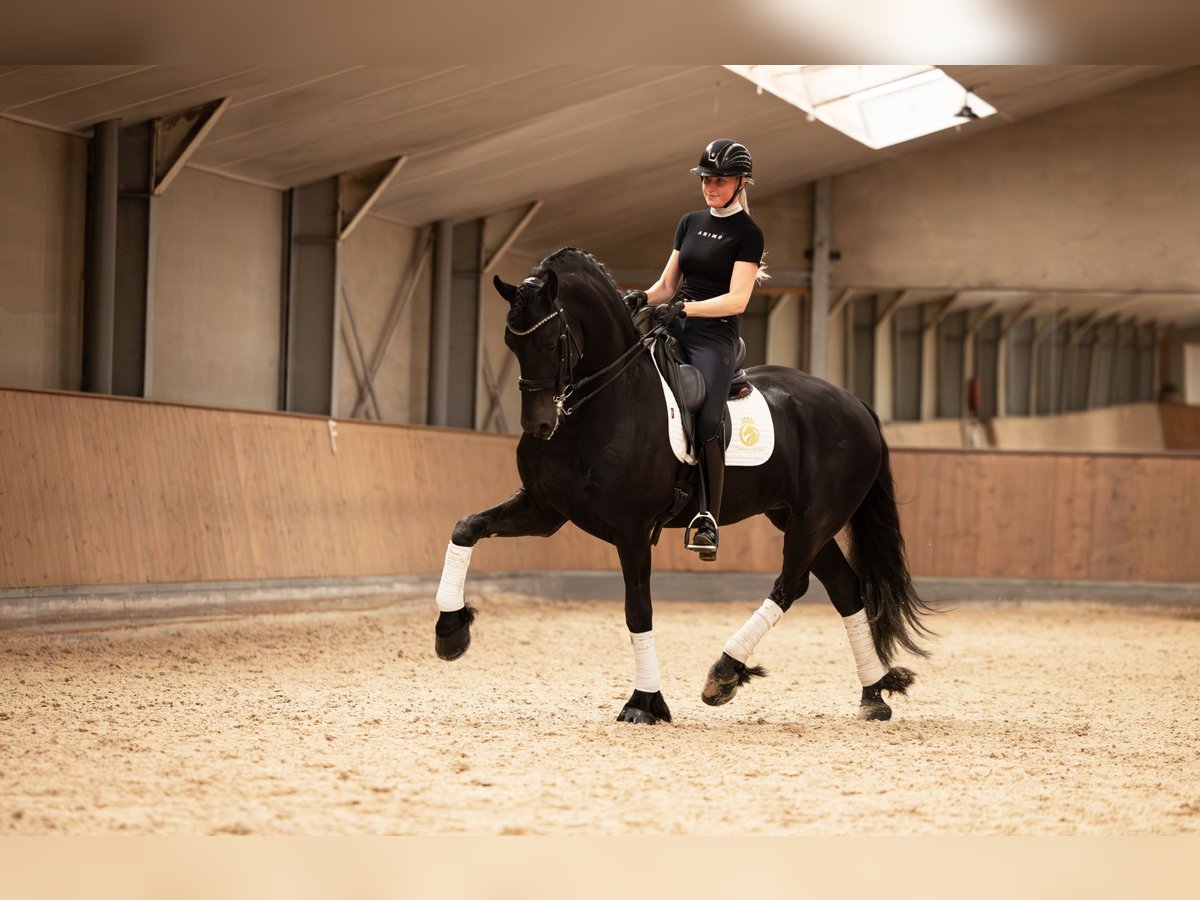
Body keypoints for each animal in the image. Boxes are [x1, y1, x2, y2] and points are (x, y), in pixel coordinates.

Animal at [436, 247, 931, 724]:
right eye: (510, 341)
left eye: (550, 339)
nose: (539, 426)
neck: (606, 401)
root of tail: (855, 403)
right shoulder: (544, 510)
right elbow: (465, 527)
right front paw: (450, 631)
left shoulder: (632, 530)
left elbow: (638, 609)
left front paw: (643, 702)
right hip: (797, 518)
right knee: (845, 590)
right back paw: (872, 696)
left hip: (814, 520)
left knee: (791, 585)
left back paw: (725, 674)